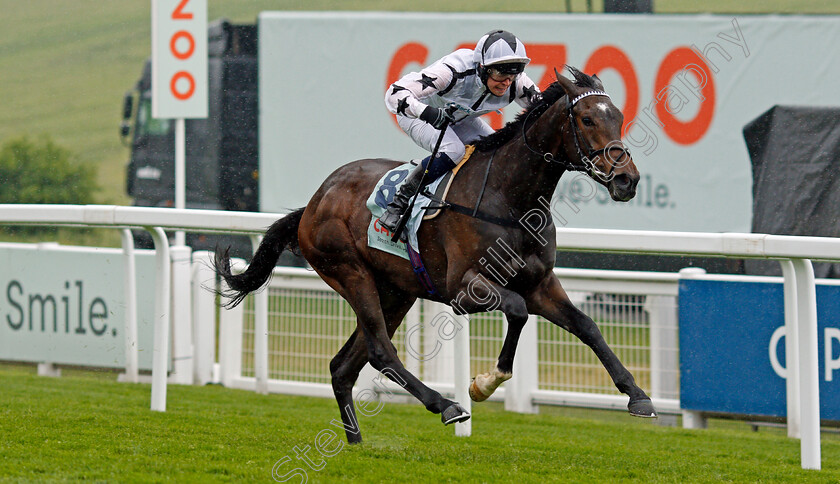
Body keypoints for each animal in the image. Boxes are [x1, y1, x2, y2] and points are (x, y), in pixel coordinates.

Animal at [213, 66, 652, 444]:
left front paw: (637, 395)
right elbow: (516, 310)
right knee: (381, 351)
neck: (508, 198)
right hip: (350, 272)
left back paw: (356, 441)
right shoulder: (463, 289)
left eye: (618, 116)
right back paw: (446, 405)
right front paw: (484, 383)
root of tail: (314, 202)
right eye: (587, 120)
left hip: (396, 291)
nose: (627, 180)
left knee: (344, 365)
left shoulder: (540, 284)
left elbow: (587, 326)